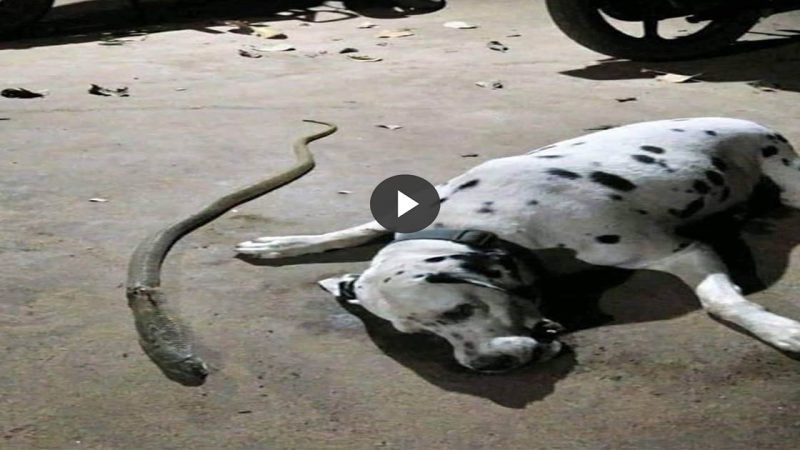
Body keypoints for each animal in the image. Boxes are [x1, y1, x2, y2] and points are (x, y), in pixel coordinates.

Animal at [234, 117, 800, 372]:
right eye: (417, 333)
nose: (489, 366)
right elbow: (349, 231)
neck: (484, 217)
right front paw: (278, 245)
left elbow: (721, 303)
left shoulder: (679, 251)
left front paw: (779, 331)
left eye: (460, 312)